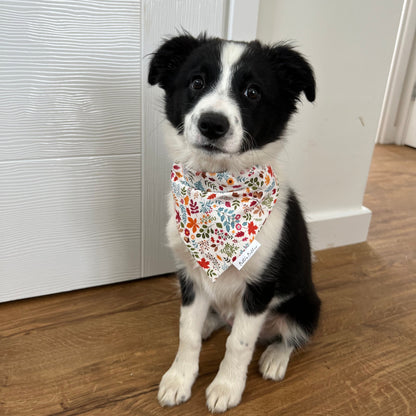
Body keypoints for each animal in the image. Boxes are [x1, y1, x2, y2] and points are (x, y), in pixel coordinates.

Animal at [148, 35, 320, 412]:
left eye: (253, 92)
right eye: (197, 82)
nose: (212, 124)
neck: (218, 189)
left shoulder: (261, 287)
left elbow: (239, 344)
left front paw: (226, 387)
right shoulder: (190, 275)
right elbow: (186, 333)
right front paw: (179, 378)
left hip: (306, 306)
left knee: (290, 336)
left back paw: (274, 357)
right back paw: (210, 323)